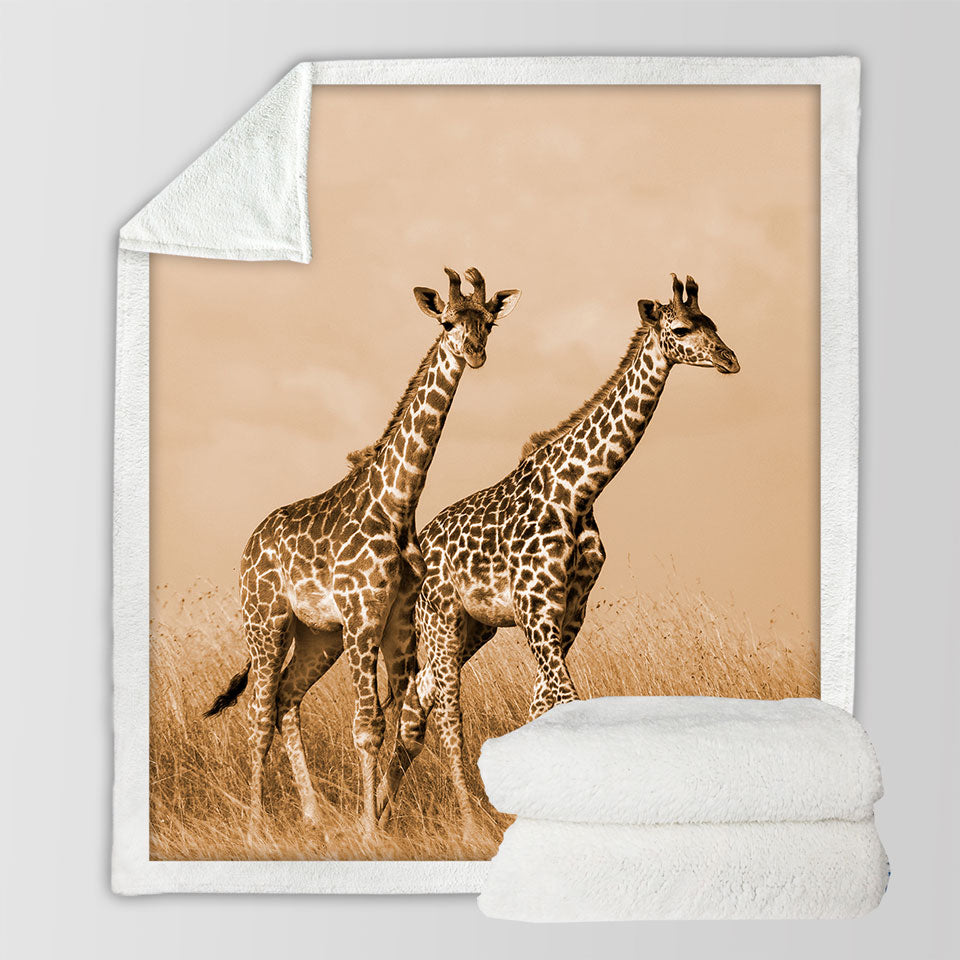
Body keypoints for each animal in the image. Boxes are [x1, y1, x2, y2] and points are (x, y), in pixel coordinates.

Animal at [204, 267, 521, 835]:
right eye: (446, 321)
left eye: (487, 322)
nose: (475, 353)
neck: (396, 503)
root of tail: (249, 544)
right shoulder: (363, 617)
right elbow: (368, 724)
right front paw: (369, 827)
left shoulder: (396, 622)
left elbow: (404, 719)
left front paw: (379, 818)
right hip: (266, 621)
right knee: (259, 712)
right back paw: (257, 823)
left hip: (317, 635)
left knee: (286, 699)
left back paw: (313, 815)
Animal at [387, 274, 739, 833]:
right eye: (683, 329)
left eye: (714, 323)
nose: (730, 360)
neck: (580, 491)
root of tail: (418, 550)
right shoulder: (536, 609)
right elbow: (566, 699)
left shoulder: (571, 610)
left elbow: (544, 706)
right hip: (440, 619)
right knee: (444, 706)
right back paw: (466, 819)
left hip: (475, 626)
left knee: (418, 699)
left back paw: (379, 812)